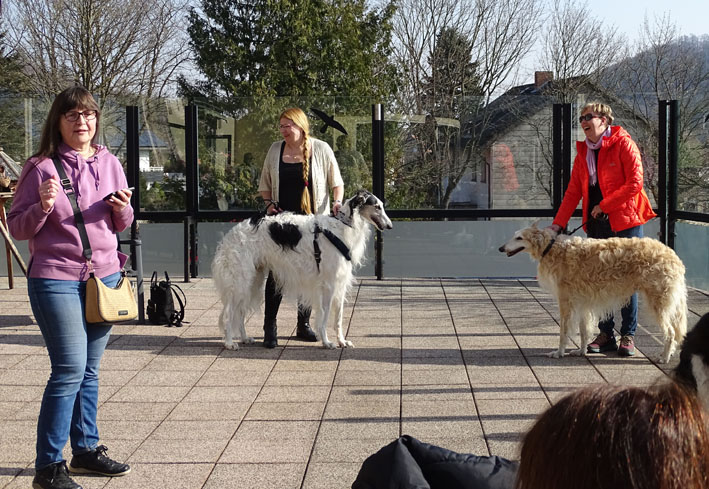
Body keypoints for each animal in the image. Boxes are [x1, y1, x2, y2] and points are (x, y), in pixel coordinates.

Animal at [212, 190, 392, 350]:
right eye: (377, 207)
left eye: (381, 206)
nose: (390, 226)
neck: (341, 227)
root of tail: (230, 235)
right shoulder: (329, 284)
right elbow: (325, 316)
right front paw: (327, 342)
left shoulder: (340, 283)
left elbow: (338, 319)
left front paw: (342, 341)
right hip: (240, 282)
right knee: (229, 314)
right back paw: (229, 343)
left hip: (252, 280)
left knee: (240, 313)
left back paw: (244, 338)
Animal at [498, 223, 687, 363]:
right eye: (515, 236)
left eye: (519, 237)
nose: (500, 248)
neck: (551, 247)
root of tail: (674, 256)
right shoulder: (582, 302)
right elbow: (583, 331)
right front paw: (581, 351)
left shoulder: (565, 302)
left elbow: (563, 332)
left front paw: (558, 353)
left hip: (658, 303)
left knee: (670, 333)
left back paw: (664, 358)